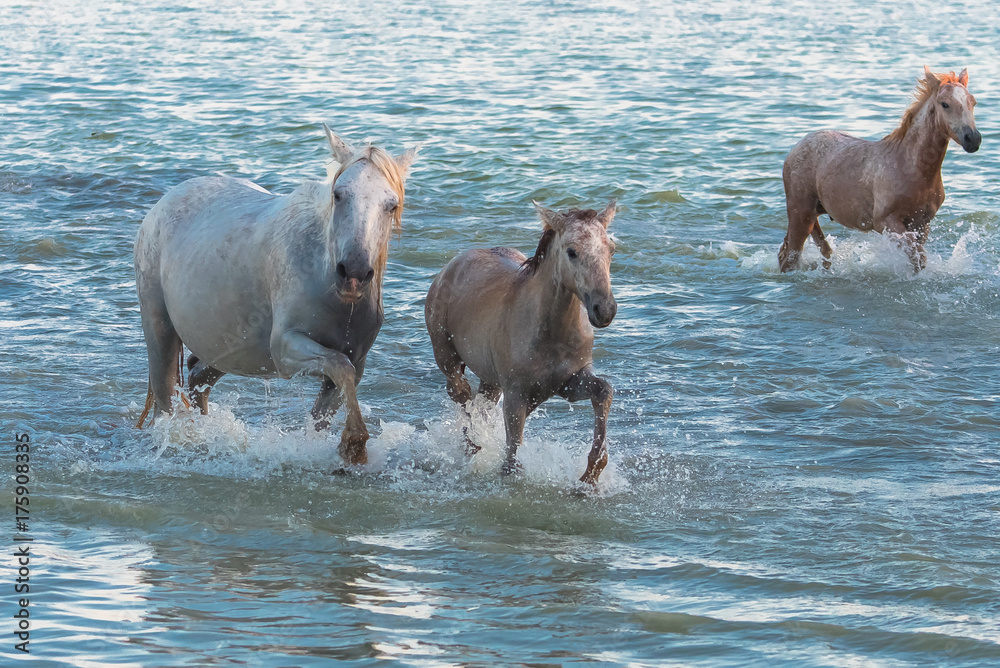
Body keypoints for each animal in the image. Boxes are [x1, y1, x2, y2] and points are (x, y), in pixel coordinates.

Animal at [134, 124, 416, 466]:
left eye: (391, 204)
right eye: (338, 194)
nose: (354, 273)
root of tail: (163, 203)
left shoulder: (355, 360)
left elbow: (328, 405)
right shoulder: (285, 349)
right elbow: (340, 367)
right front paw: (355, 443)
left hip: (227, 348)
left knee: (197, 376)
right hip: (159, 329)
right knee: (164, 402)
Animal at [425, 200, 618, 488]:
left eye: (611, 249)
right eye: (572, 251)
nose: (604, 309)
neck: (551, 333)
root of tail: (448, 268)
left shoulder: (569, 382)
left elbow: (604, 390)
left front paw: (590, 477)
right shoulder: (516, 393)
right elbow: (512, 456)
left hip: (491, 380)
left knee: (480, 403)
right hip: (447, 358)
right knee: (461, 394)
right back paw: (472, 446)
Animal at [779, 66, 981, 272]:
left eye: (973, 102)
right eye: (945, 104)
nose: (973, 139)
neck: (913, 168)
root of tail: (795, 149)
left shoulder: (921, 224)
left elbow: (918, 261)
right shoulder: (885, 222)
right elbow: (918, 257)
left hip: (814, 213)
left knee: (819, 250)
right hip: (800, 213)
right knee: (789, 257)